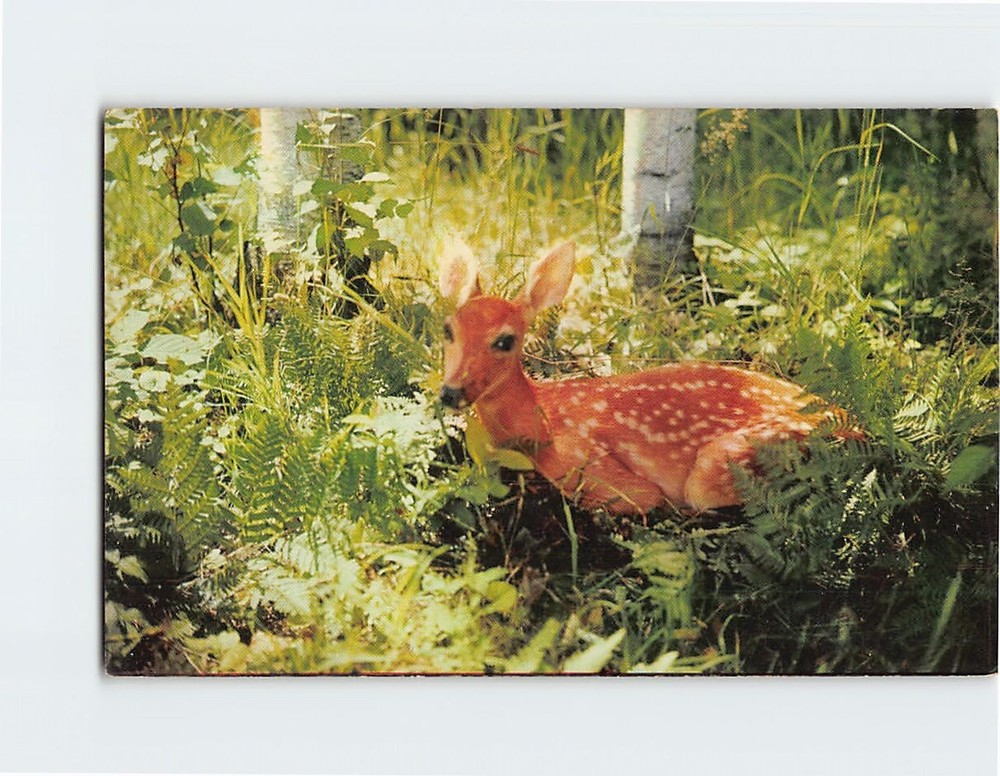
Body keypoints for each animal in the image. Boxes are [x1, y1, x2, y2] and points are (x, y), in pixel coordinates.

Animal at [437, 238, 856, 516]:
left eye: (505, 340)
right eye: (448, 329)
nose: (450, 392)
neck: (540, 417)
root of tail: (854, 424)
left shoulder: (596, 472)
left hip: (724, 465)